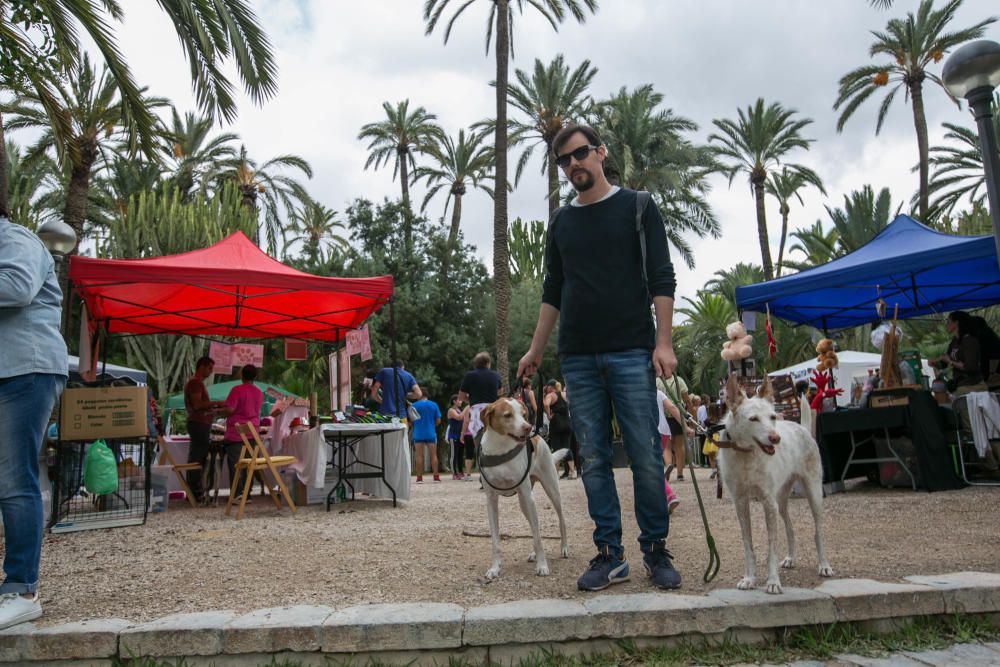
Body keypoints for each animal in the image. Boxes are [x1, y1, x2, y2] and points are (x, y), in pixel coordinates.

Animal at [478, 396, 572, 580]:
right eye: (507, 415)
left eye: (523, 414)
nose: (528, 428)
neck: (501, 448)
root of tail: (540, 438)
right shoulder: (491, 500)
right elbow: (495, 541)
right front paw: (494, 568)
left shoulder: (529, 498)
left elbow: (538, 537)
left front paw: (542, 566)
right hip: (524, 502)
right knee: (535, 528)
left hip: (550, 491)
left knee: (560, 520)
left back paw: (564, 548)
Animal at [720, 374, 836, 596]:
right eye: (753, 419)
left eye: (773, 417)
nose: (776, 439)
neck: (746, 455)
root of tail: (802, 428)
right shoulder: (741, 504)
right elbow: (748, 545)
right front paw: (749, 579)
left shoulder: (768, 503)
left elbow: (771, 547)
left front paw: (773, 581)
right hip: (781, 501)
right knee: (790, 529)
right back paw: (791, 558)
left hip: (813, 494)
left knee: (818, 533)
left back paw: (824, 565)